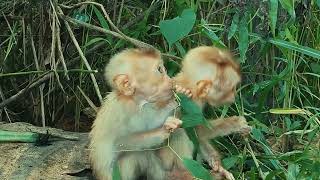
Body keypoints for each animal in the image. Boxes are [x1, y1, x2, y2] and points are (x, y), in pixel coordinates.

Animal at [89, 48, 181, 180]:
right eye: (160, 70)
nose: (171, 81)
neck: (137, 102)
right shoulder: (120, 112)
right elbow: (120, 142)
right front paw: (163, 129)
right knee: (137, 155)